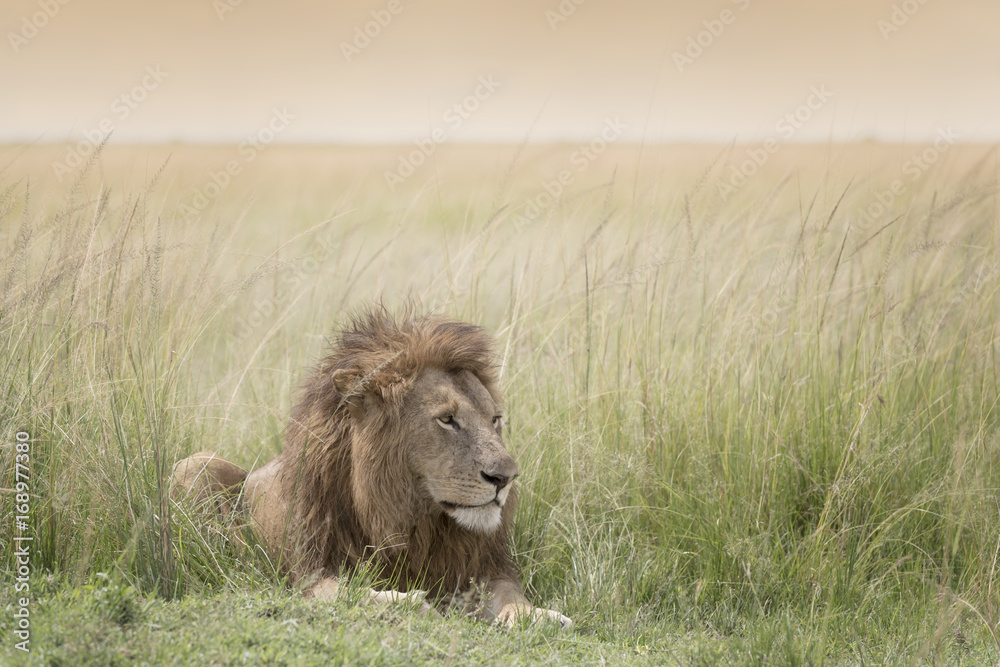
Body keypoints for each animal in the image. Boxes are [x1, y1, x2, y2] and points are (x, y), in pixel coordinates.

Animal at [170, 308, 571, 629]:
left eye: (495, 420)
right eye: (446, 419)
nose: (505, 478)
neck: (410, 518)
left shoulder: (482, 568)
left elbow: (512, 596)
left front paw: (540, 616)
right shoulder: (312, 571)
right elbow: (348, 593)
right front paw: (406, 603)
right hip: (193, 465)